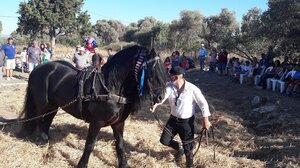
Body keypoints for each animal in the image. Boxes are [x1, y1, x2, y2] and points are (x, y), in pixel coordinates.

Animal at [18, 45, 168, 167]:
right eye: (152, 69)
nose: (161, 97)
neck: (109, 88)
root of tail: (37, 68)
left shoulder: (119, 123)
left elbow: (120, 145)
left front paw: (124, 164)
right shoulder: (96, 122)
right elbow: (90, 145)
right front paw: (82, 164)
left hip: (53, 106)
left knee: (47, 119)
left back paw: (47, 140)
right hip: (43, 104)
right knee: (39, 118)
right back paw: (42, 139)